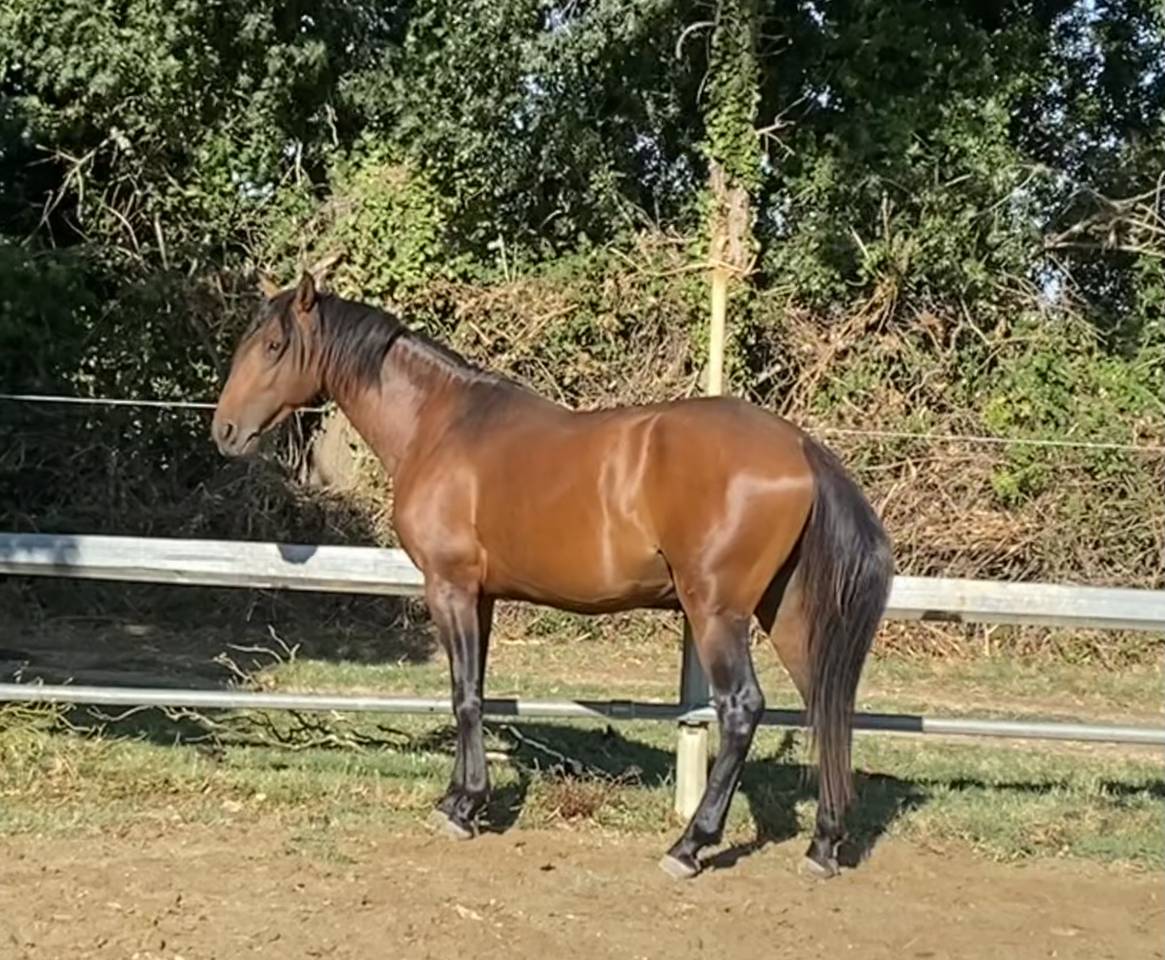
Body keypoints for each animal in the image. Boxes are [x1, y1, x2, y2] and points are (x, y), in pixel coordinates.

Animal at [211, 271, 894, 880]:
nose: (225, 431)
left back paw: (689, 846)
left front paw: (463, 807)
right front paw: (461, 796)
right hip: (787, 613)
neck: (440, 423)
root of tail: (800, 446)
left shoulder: (449, 586)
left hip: (716, 612)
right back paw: (824, 845)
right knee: (826, 701)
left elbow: (463, 695)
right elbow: (475, 688)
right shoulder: (481, 597)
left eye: (273, 346)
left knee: (742, 710)